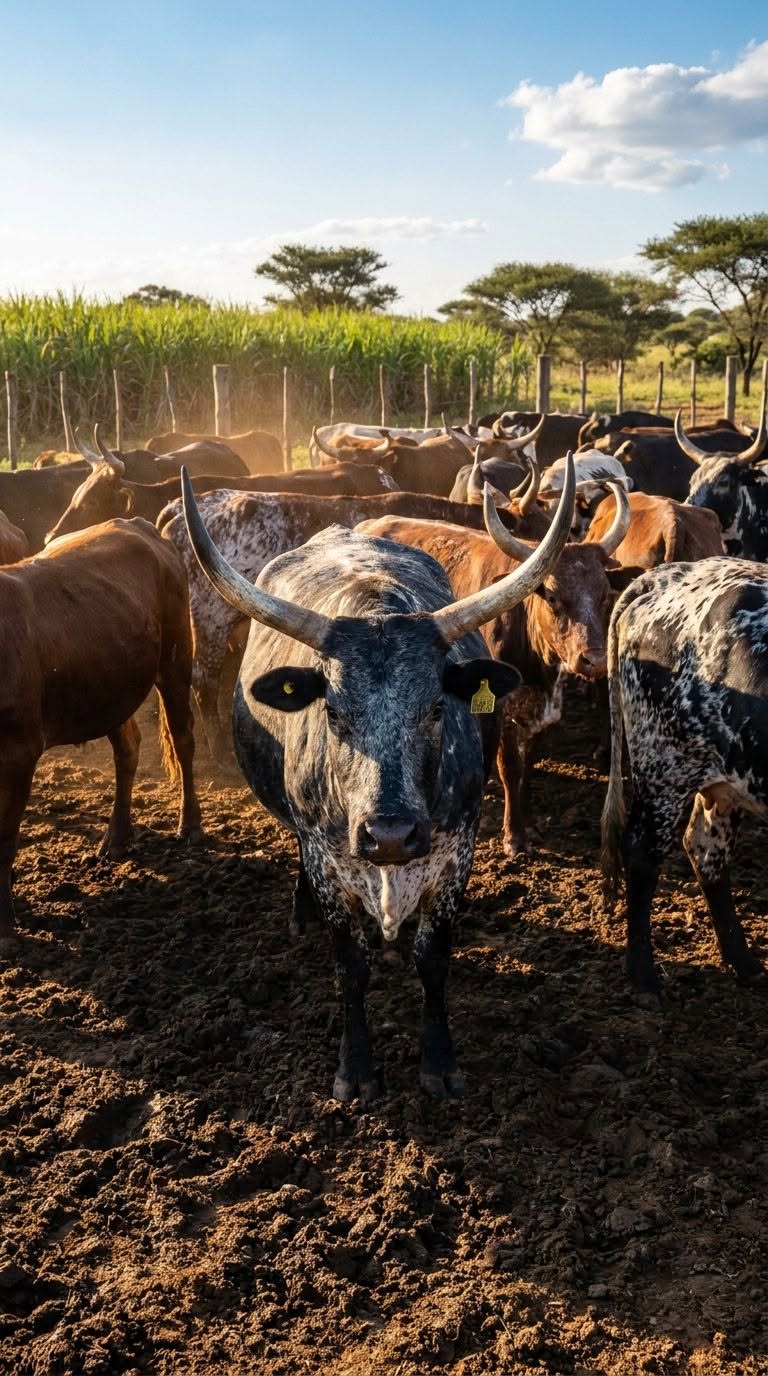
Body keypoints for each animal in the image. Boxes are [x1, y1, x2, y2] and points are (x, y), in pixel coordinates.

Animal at [0, 519, 202, 936]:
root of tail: (133, 523)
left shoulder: (19, 753)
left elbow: (4, 838)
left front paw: (5, 924)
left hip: (176, 662)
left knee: (183, 740)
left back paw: (190, 826)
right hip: (112, 690)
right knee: (129, 747)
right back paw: (117, 836)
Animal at [358, 478, 633, 858]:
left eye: (605, 594)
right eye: (552, 596)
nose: (594, 660)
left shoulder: (544, 708)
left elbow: (529, 763)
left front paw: (530, 823)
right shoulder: (497, 706)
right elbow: (510, 767)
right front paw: (514, 836)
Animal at [601, 558, 768, 1001]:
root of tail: (670, 575)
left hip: (725, 781)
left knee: (705, 851)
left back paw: (744, 963)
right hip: (664, 767)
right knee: (642, 853)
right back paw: (644, 977)